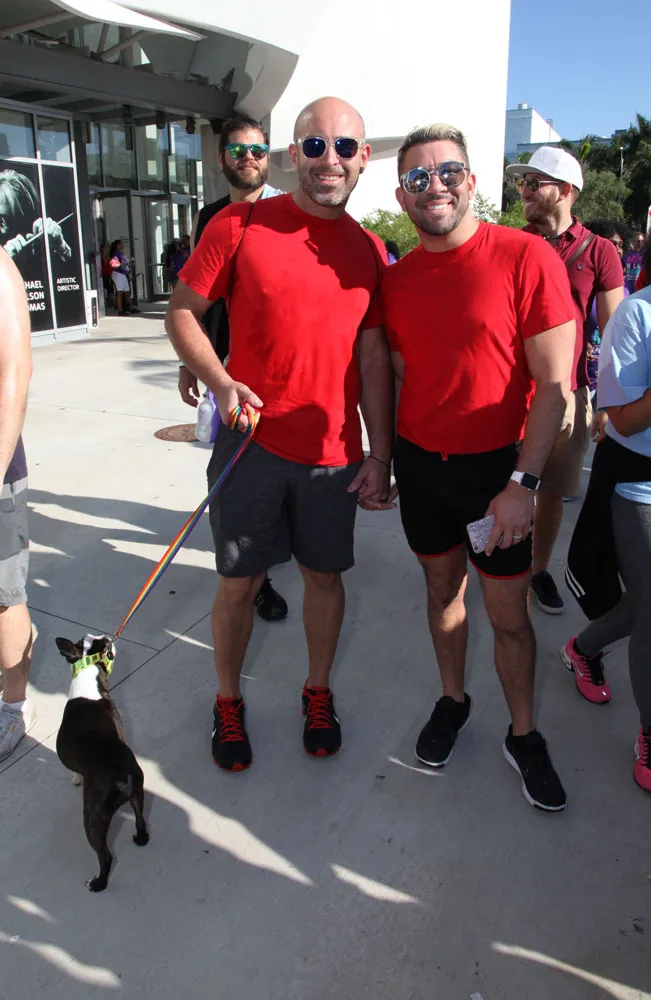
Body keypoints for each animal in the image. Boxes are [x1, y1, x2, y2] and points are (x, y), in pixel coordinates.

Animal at [55, 633, 149, 891]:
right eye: (103, 644)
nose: (108, 636)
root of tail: (120, 774)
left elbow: (75, 771)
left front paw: (76, 778)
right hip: (137, 792)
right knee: (140, 819)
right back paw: (140, 838)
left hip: (93, 817)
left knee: (105, 855)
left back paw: (98, 883)